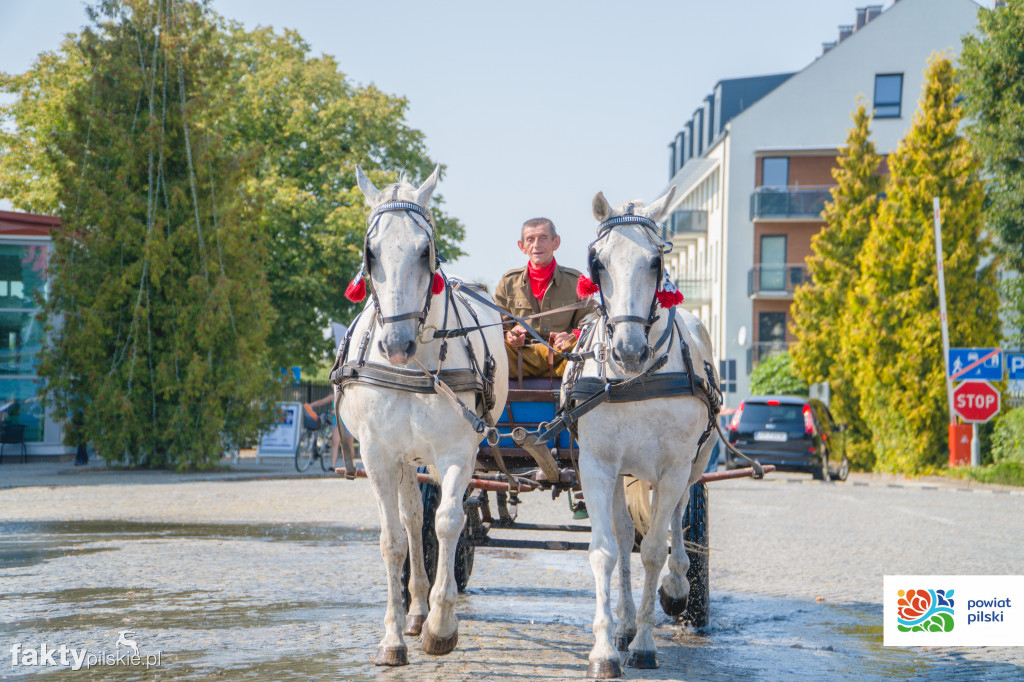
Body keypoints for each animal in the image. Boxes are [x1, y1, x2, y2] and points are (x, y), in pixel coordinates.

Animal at [339, 164, 507, 663]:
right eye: (371, 253)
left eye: (424, 249)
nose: (397, 345)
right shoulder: (378, 456)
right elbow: (393, 539)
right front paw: (394, 637)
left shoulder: (457, 452)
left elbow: (450, 523)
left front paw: (442, 624)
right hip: (404, 458)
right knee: (413, 520)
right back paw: (413, 610)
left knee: (437, 519)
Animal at [569, 186, 720, 675]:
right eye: (597, 262)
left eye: (655, 261)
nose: (629, 350)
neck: (635, 380)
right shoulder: (597, 465)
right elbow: (606, 549)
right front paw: (605, 649)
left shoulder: (674, 467)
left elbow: (654, 548)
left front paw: (645, 645)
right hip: (623, 472)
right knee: (622, 534)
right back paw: (625, 622)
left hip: (694, 463)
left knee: (677, 519)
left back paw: (675, 587)